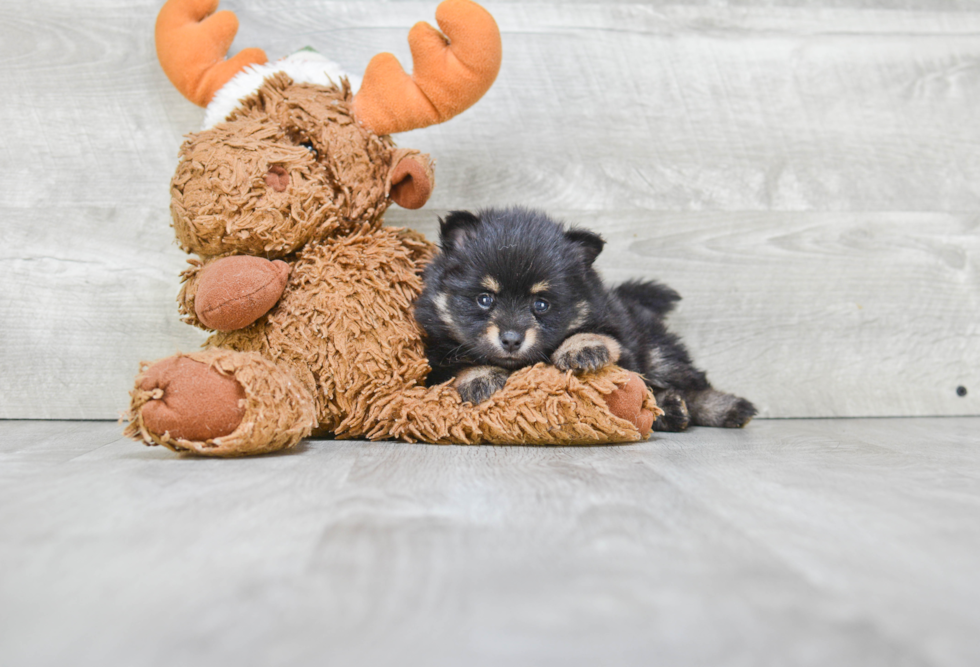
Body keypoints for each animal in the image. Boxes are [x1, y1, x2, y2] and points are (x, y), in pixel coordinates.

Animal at [414, 206, 756, 430]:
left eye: (541, 304)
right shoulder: (435, 353)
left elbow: (603, 335)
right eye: (485, 299)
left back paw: (722, 408)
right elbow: (458, 364)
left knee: (692, 384)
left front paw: (582, 347)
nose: (511, 340)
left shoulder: (618, 329)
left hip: (657, 350)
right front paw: (480, 376)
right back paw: (672, 410)